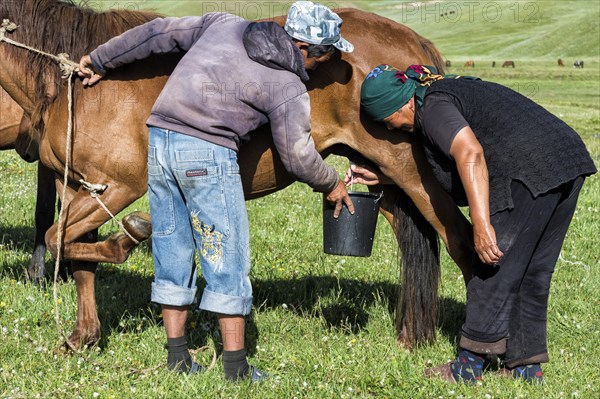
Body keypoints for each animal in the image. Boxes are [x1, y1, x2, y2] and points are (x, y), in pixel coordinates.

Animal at [1, 0, 478, 350]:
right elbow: (75, 253)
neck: (79, 88)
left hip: (412, 173)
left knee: (462, 241)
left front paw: (128, 238)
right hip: (384, 179)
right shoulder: (77, 184)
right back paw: (411, 336)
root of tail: (414, 45)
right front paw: (83, 336)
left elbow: (61, 239)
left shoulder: (118, 187)